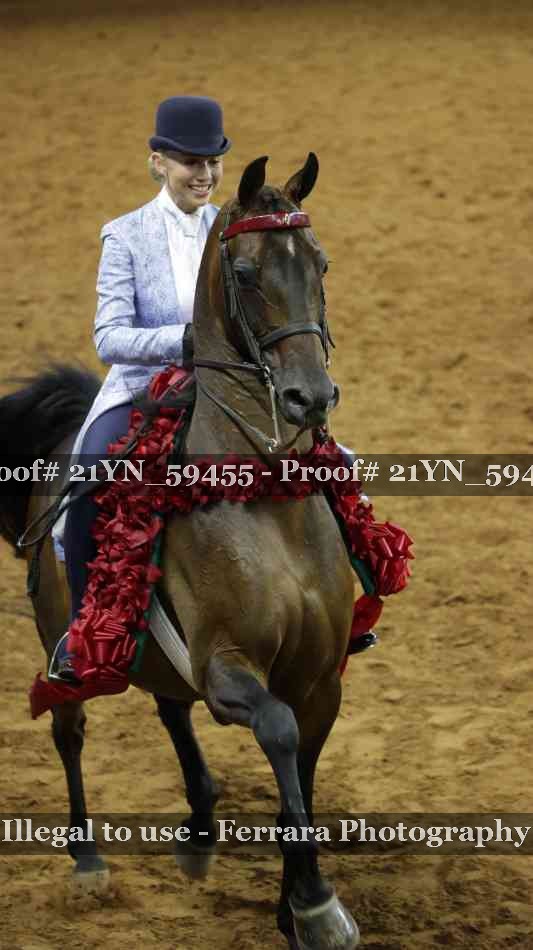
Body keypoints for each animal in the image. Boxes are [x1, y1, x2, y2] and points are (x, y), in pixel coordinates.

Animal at [0, 153, 360, 949]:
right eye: (247, 272)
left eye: (320, 263)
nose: (309, 398)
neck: (268, 499)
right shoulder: (228, 666)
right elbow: (279, 733)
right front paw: (315, 905)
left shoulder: (321, 677)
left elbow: (303, 774)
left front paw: (292, 907)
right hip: (64, 637)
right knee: (71, 730)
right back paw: (87, 862)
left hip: (156, 648)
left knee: (170, 707)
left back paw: (198, 829)